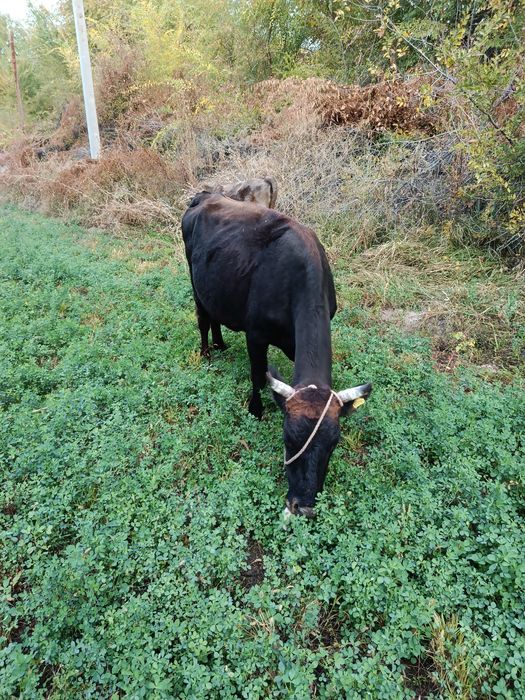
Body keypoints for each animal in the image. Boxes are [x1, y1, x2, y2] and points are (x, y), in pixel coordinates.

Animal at [181, 192, 372, 518]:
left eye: (333, 444)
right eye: (287, 438)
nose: (303, 507)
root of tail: (205, 195)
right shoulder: (255, 335)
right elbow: (258, 375)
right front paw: (255, 410)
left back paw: (220, 345)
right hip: (194, 279)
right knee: (203, 318)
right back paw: (207, 353)